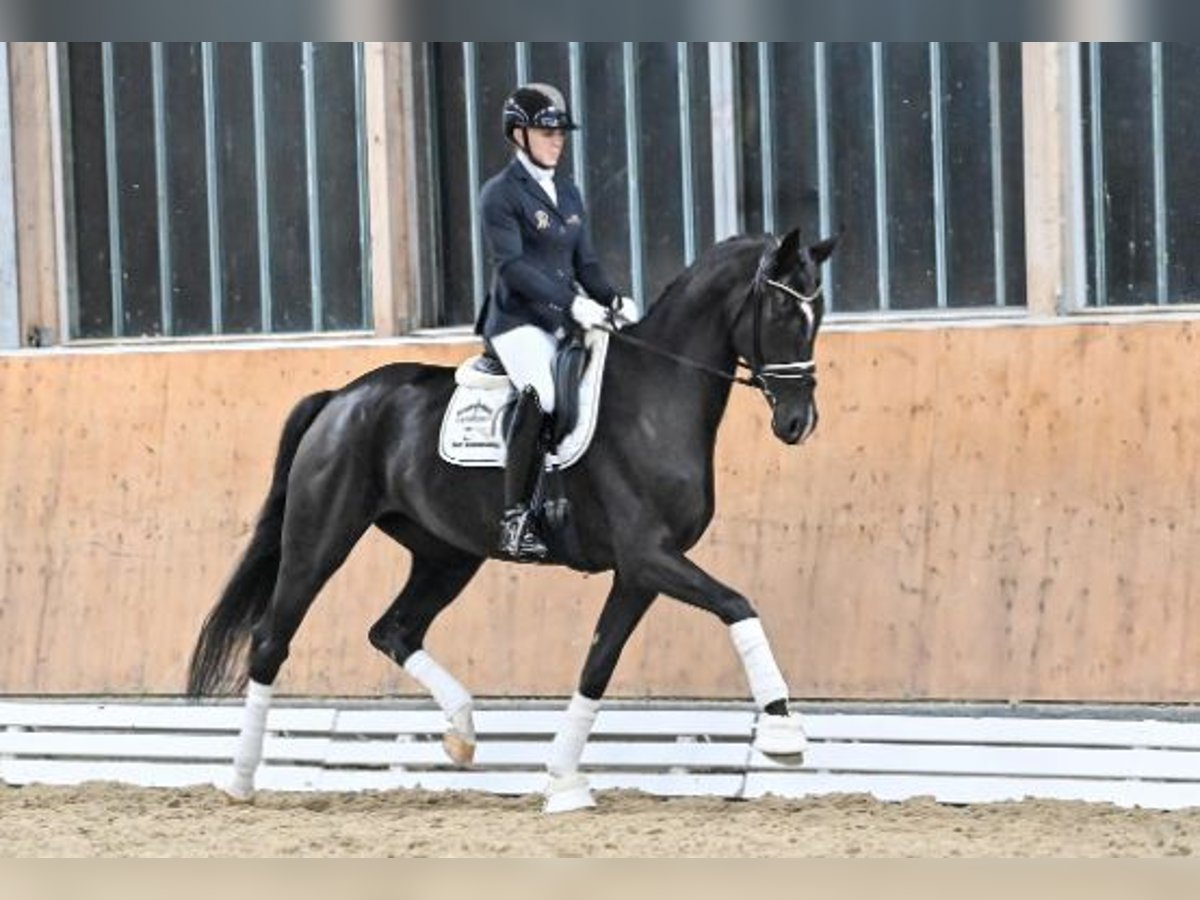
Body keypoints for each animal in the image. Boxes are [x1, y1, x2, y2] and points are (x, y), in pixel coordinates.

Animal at [192, 225, 840, 811]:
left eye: (819, 312)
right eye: (784, 308)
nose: (798, 423)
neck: (656, 399)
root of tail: (341, 398)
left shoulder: (638, 573)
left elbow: (597, 666)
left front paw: (563, 780)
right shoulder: (649, 556)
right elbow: (737, 604)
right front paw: (783, 730)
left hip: (446, 555)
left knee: (393, 630)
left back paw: (461, 731)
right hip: (321, 539)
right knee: (271, 640)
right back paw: (240, 781)